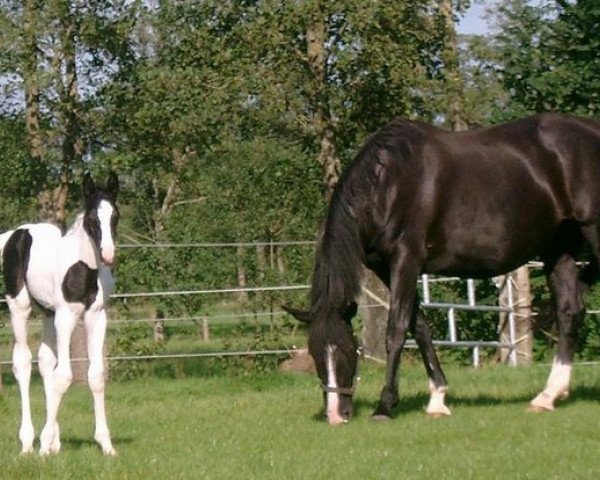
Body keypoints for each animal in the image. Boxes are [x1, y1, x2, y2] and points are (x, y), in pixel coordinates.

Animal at [0, 172, 119, 454]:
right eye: (91, 219)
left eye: (115, 216)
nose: (108, 255)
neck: (84, 269)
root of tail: (14, 234)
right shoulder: (66, 316)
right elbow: (64, 376)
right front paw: (43, 445)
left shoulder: (96, 317)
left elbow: (95, 376)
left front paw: (106, 444)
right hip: (19, 306)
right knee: (23, 362)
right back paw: (28, 442)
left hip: (48, 313)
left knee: (45, 361)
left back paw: (54, 440)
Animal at [284, 114, 600, 426]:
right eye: (314, 352)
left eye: (349, 350)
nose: (336, 415)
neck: (388, 184)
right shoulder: (386, 268)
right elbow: (420, 327)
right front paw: (437, 398)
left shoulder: (406, 260)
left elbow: (396, 330)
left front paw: (384, 405)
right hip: (559, 246)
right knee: (570, 311)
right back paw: (547, 396)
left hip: (592, 231)